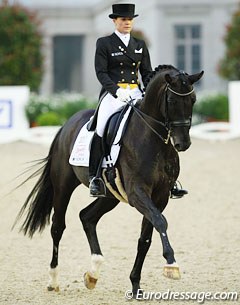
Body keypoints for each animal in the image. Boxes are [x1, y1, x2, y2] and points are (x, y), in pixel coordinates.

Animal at [14, 64, 202, 294]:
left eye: (193, 99)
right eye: (172, 101)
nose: (183, 143)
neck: (153, 138)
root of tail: (67, 125)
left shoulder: (160, 196)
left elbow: (146, 238)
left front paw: (136, 285)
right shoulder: (137, 193)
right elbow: (160, 221)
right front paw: (171, 264)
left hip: (109, 195)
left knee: (87, 217)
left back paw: (93, 273)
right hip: (63, 187)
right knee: (58, 227)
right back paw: (53, 281)